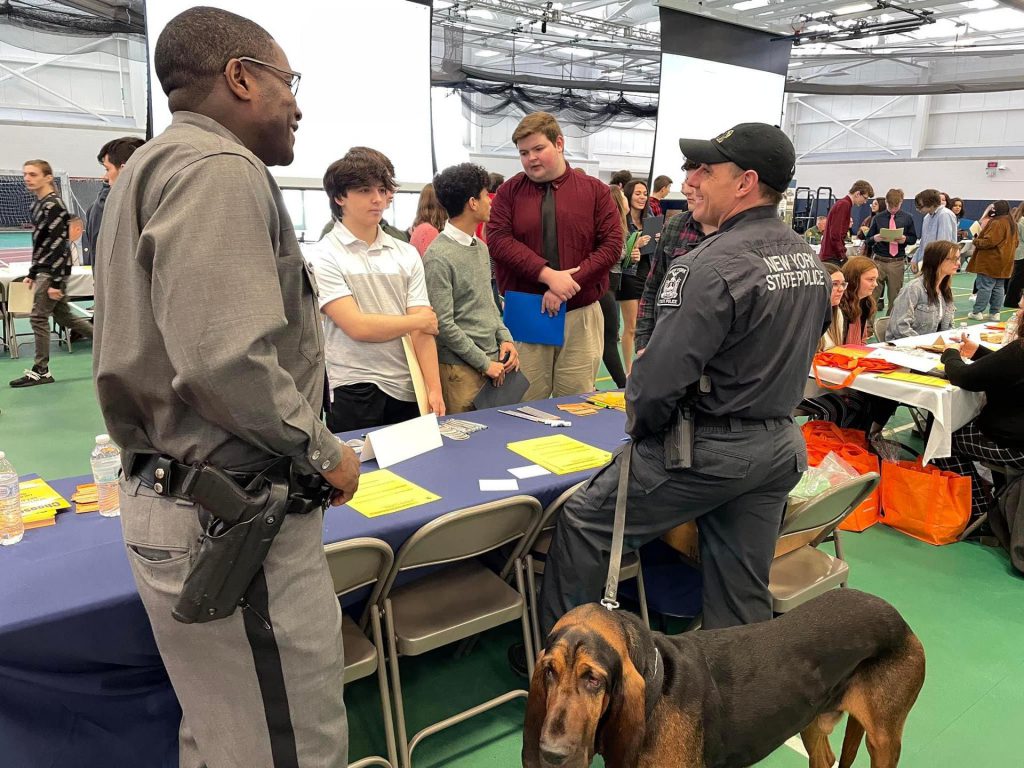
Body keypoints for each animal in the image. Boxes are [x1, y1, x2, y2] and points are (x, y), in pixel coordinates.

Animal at [524, 593, 925, 765]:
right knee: (825, 759)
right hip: (810, 719)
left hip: (884, 741)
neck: (657, 689)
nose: (551, 754)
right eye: (549, 671)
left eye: (594, 679)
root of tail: (897, 617)